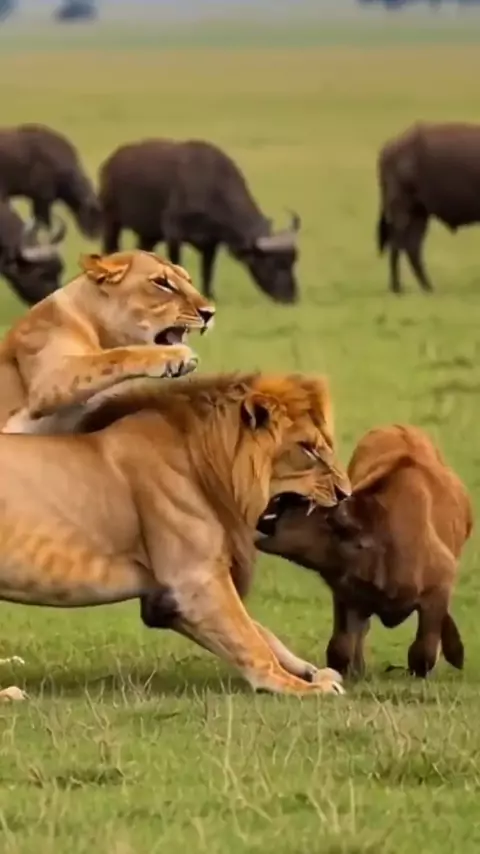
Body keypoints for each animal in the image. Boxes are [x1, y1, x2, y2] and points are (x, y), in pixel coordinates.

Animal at [0, 249, 215, 435]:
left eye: (188, 280)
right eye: (162, 283)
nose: (210, 313)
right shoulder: (49, 379)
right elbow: (117, 355)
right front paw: (177, 355)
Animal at [0, 371, 350, 701]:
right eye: (308, 448)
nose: (345, 493)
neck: (207, 464)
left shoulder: (165, 599)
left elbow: (260, 631)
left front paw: (312, 671)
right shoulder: (195, 581)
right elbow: (251, 641)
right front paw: (302, 686)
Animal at [257, 424, 472, 679]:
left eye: (297, 506)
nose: (263, 515)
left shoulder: (439, 587)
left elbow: (424, 649)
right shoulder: (347, 595)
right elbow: (341, 646)